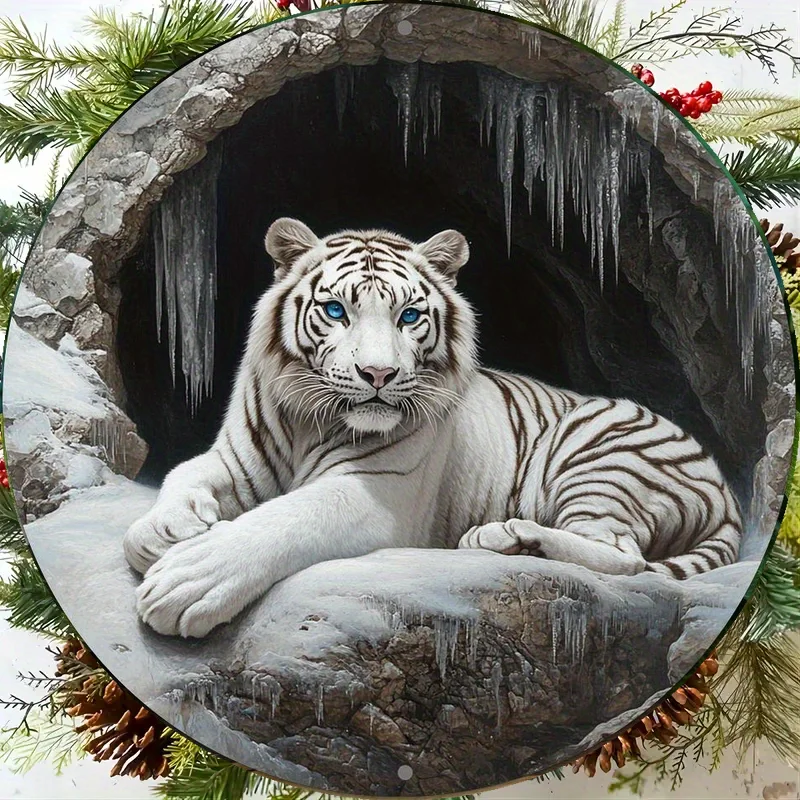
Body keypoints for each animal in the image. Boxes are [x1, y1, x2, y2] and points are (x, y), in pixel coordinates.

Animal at [127, 217, 743, 639]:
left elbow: (284, 519)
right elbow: (182, 475)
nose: (378, 374)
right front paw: (164, 530)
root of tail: (728, 491)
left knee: (625, 555)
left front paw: (188, 581)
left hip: (596, 455)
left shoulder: (375, 494)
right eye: (335, 311)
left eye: (409, 316)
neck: (308, 420)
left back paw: (506, 536)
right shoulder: (234, 460)